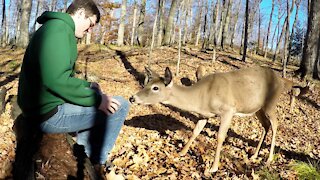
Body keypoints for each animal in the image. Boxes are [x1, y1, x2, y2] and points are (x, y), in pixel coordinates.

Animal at [129, 65, 294, 172]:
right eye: (146, 84)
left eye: (155, 88)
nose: (132, 98)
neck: (202, 97)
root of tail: (282, 81)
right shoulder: (204, 115)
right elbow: (195, 131)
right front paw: (181, 152)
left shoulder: (228, 110)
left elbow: (220, 136)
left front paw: (213, 167)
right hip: (257, 108)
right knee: (266, 125)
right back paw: (254, 155)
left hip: (270, 103)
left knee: (275, 124)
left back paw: (269, 158)